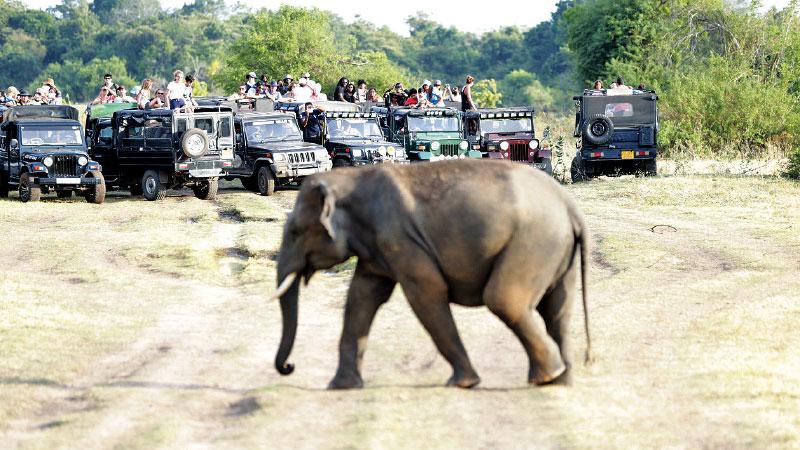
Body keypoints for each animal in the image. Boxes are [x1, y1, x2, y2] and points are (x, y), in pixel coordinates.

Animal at [272, 159, 592, 390]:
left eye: (295, 232)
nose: (289, 367)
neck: (352, 177)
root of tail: (569, 206)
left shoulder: (400, 239)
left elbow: (426, 294)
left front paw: (463, 383)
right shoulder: (377, 249)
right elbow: (362, 297)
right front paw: (340, 386)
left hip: (532, 242)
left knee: (505, 301)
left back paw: (546, 376)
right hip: (555, 250)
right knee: (556, 312)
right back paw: (560, 381)